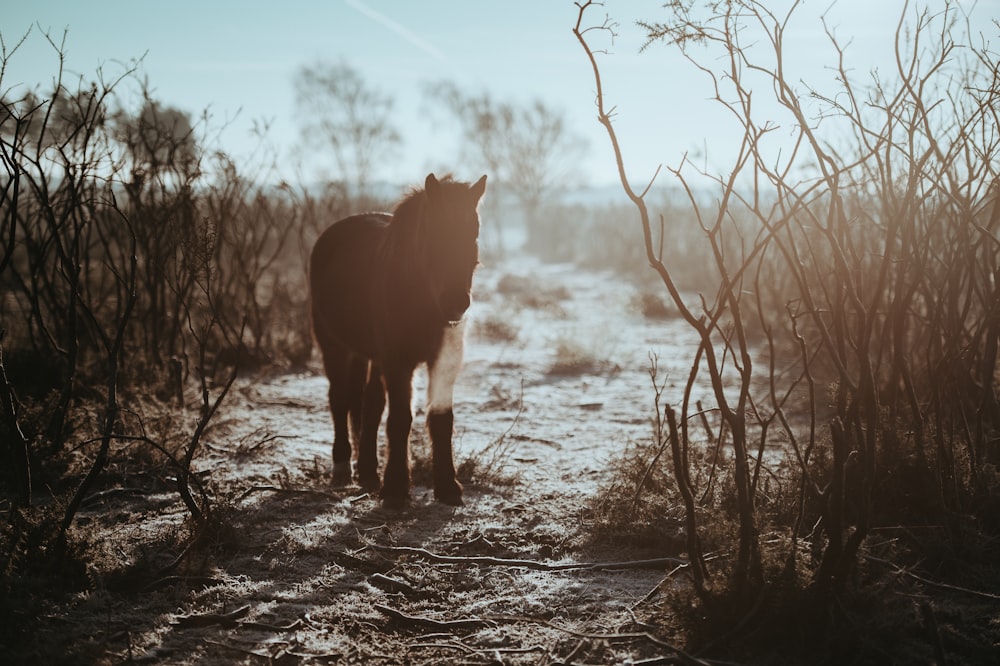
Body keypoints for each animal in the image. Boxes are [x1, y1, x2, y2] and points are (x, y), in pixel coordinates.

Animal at [308, 174, 488, 506]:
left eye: (473, 233)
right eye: (433, 234)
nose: (456, 302)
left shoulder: (443, 361)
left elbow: (440, 419)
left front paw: (448, 487)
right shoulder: (398, 361)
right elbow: (400, 419)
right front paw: (395, 488)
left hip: (370, 356)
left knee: (369, 403)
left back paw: (368, 471)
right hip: (334, 347)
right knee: (339, 399)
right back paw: (342, 466)